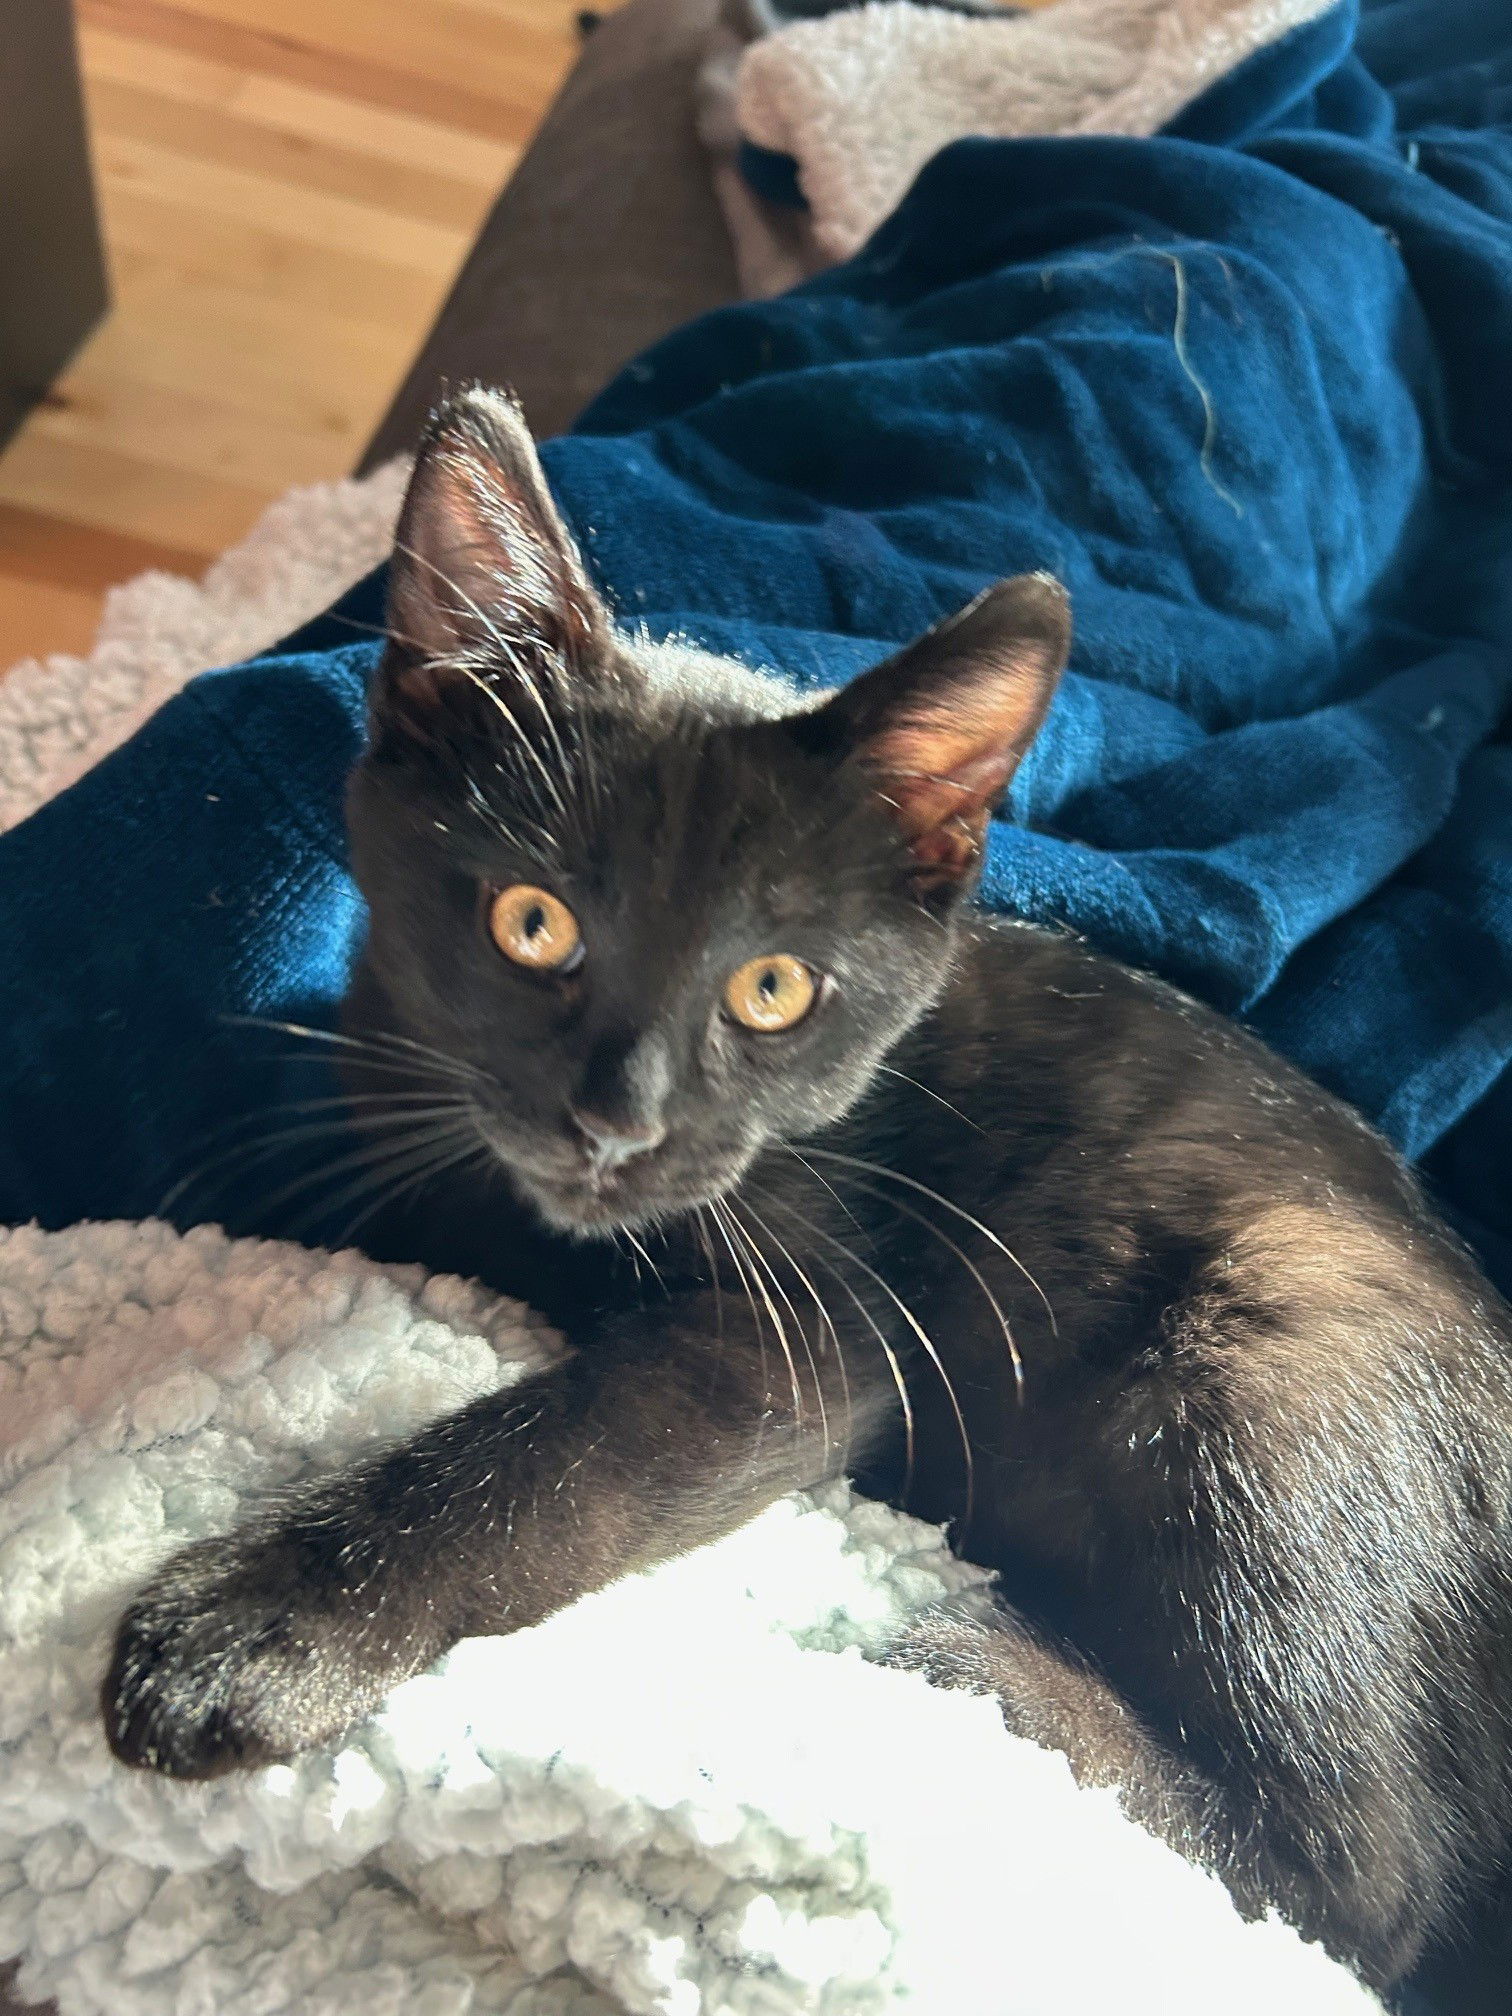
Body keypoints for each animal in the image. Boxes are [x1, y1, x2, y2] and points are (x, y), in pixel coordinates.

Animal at [103, 387, 1512, 1999]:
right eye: (532, 924)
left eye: (774, 990)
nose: (618, 1121)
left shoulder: (809, 1330)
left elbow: (537, 1461)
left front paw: (253, 1625)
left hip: (1283, 1337)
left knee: (1357, 1895)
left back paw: (991, 1679)